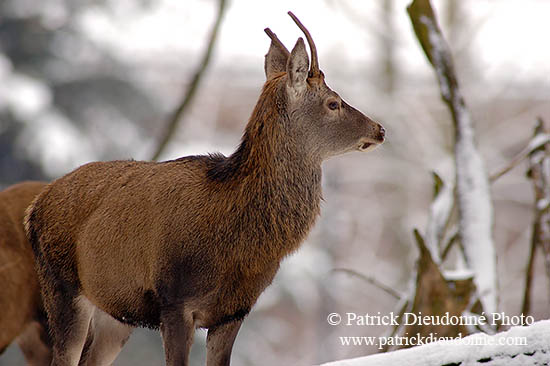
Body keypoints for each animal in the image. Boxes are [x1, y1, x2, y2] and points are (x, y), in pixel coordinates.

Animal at [27, 11, 388, 366]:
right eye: (333, 102)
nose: (380, 129)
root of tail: (34, 209)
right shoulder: (175, 301)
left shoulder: (234, 312)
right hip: (62, 285)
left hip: (116, 311)